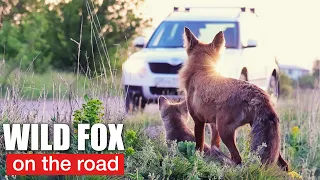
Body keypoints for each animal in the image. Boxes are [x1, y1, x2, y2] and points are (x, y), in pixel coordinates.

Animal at [179, 27, 288, 171]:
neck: (202, 70)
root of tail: (261, 95)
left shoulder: (199, 121)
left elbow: (199, 149)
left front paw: (196, 163)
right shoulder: (213, 125)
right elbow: (214, 145)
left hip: (225, 131)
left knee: (237, 159)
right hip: (265, 141)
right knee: (284, 164)